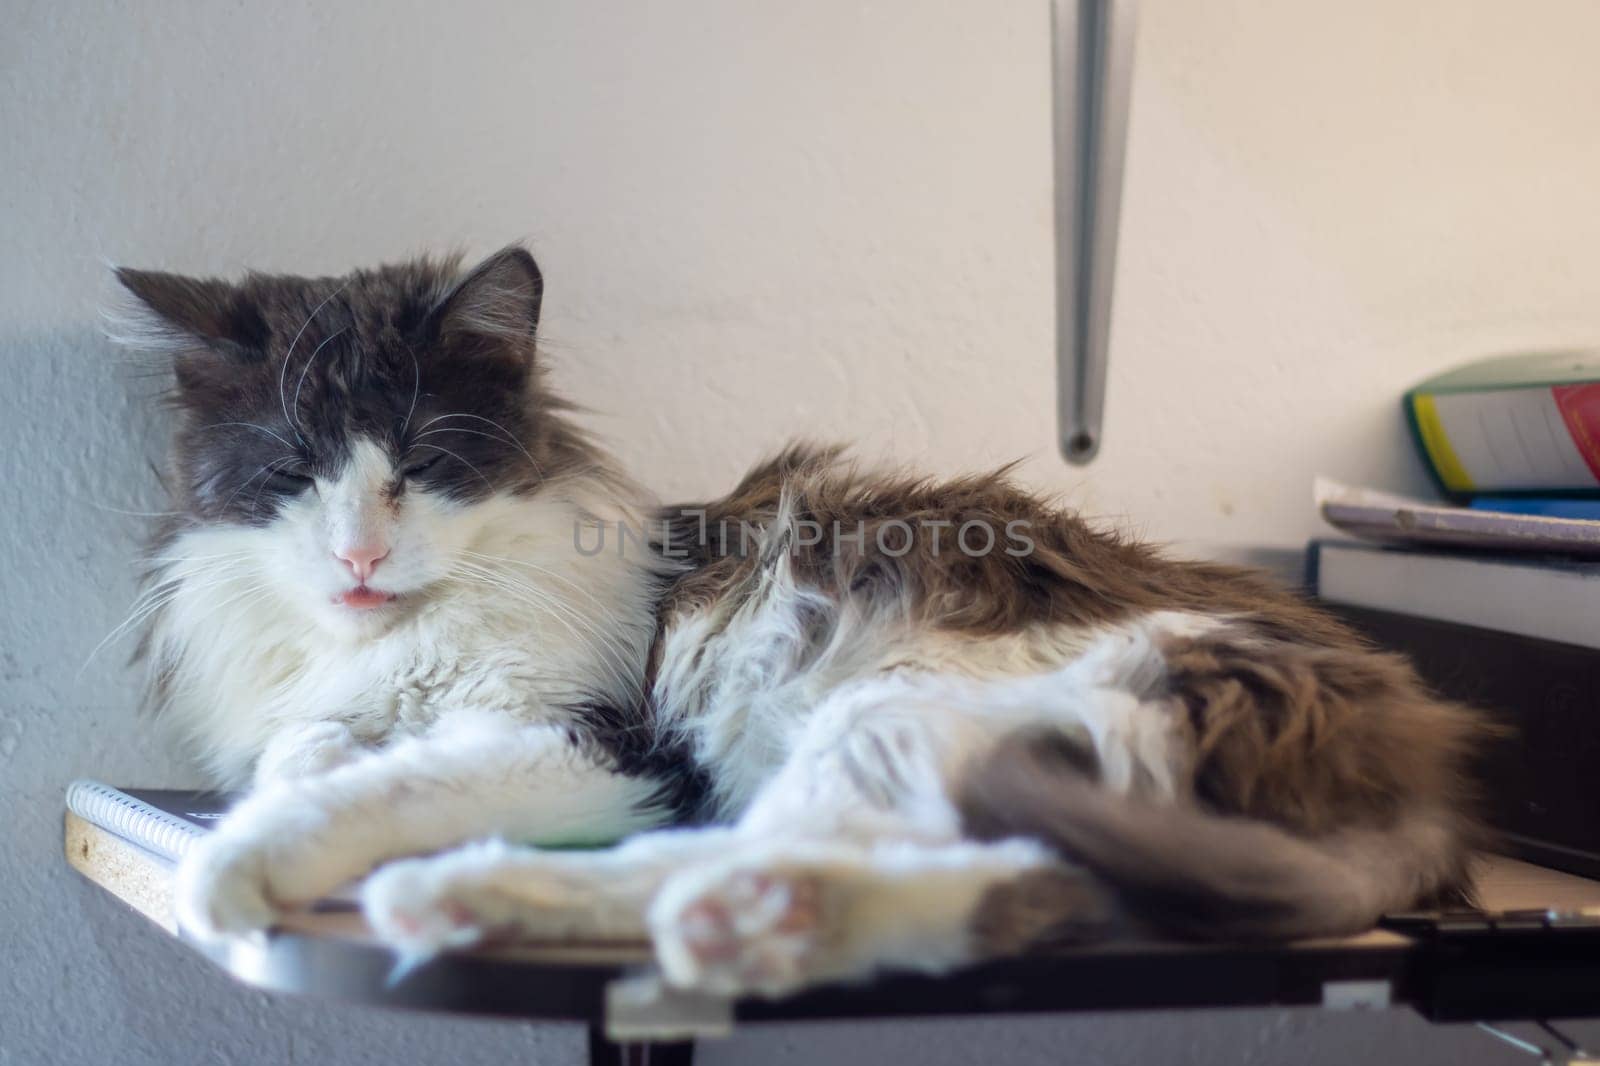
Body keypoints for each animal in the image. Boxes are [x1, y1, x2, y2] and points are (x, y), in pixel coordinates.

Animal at [109, 244, 1484, 992]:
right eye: (292, 470)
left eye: (420, 465)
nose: (358, 553)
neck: (405, 645)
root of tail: (1417, 769)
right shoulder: (357, 707)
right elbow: (315, 752)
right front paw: (291, 785)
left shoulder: (591, 737)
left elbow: (375, 788)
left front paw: (238, 866)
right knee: (1002, 883)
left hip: (913, 708)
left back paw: (533, 901)